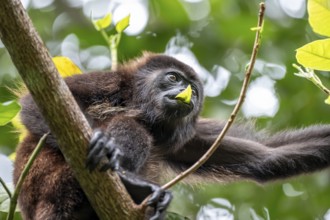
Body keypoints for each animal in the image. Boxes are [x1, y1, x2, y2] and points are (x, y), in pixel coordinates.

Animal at [14, 52, 330, 219]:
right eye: (173, 77)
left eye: (194, 89)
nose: (184, 92)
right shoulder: (111, 82)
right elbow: (35, 103)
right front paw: (104, 144)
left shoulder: (186, 138)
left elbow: (268, 156)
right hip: (52, 184)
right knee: (130, 129)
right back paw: (130, 182)